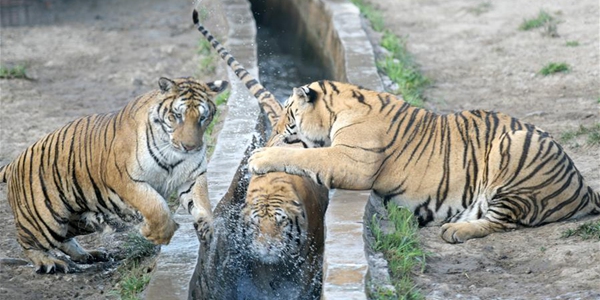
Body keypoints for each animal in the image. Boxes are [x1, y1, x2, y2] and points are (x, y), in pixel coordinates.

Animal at [0, 76, 227, 274]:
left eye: (203, 117)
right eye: (177, 116)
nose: (190, 147)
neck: (173, 152)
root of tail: (13, 162)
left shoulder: (192, 177)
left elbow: (201, 202)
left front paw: (207, 229)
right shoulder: (127, 180)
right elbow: (156, 207)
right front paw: (155, 234)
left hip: (76, 219)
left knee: (64, 240)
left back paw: (88, 255)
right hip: (46, 219)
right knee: (27, 241)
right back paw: (50, 263)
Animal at [246, 80, 596, 244]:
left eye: (289, 113)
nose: (273, 131)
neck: (338, 109)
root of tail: (583, 185)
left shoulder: (351, 160)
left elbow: (305, 154)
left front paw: (260, 157)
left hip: (515, 147)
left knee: (503, 222)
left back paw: (455, 231)